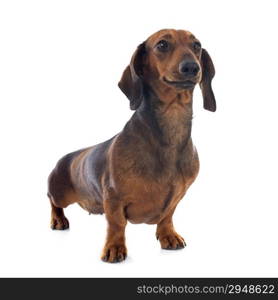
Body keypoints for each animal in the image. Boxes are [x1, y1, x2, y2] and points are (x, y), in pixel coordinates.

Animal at [47, 28, 217, 262]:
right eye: (162, 44)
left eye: (197, 45)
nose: (192, 67)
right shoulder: (113, 197)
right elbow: (116, 223)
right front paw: (114, 247)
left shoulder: (177, 196)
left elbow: (167, 215)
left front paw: (168, 235)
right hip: (59, 193)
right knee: (52, 201)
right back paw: (58, 219)